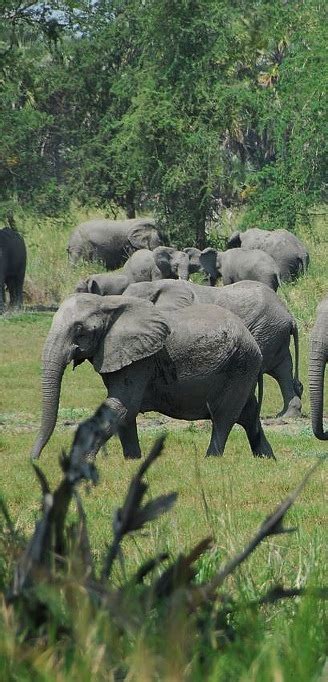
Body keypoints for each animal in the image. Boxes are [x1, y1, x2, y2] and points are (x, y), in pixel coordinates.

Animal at [30, 290, 272, 460]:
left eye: (80, 331)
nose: (34, 460)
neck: (107, 303)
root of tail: (252, 340)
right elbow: (125, 413)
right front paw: (133, 461)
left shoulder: (140, 361)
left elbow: (122, 406)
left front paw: (80, 463)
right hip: (242, 368)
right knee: (248, 414)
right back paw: (267, 459)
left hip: (240, 365)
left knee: (224, 416)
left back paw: (211, 459)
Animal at [125, 278, 302, 418]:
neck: (153, 285)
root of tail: (289, 315)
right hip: (274, 333)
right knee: (282, 370)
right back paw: (286, 414)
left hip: (265, 330)